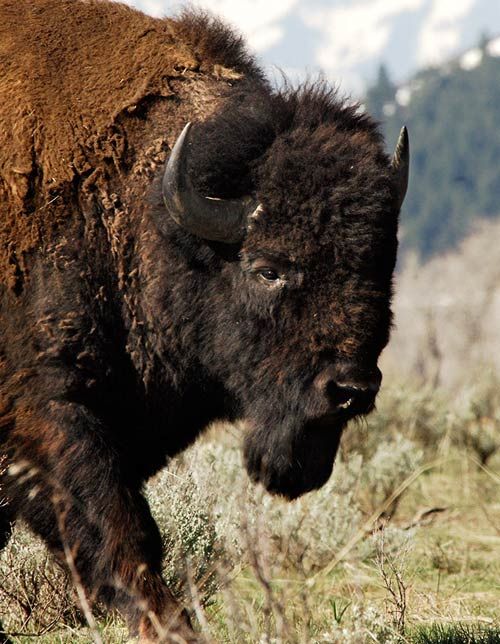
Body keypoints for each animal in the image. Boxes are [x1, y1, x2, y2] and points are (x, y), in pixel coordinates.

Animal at [0, 0, 406, 640]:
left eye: (381, 265)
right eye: (267, 269)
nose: (350, 389)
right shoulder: (48, 412)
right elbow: (121, 529)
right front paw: (173, 625)